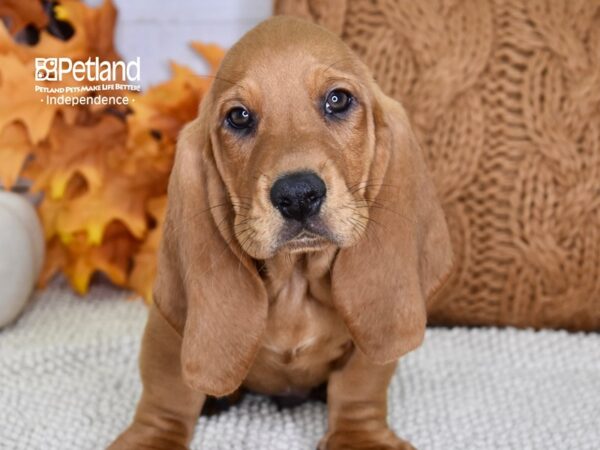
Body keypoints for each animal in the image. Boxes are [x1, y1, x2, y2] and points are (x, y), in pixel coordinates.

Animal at [110, 15, 452, 450]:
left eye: (338, 100)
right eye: (239, 117)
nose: (297, 195)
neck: (295, 283)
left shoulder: (368, 341)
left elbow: (360, 384)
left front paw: (360, 437)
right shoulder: (168, 331)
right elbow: (166, 395)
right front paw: (151, 439)